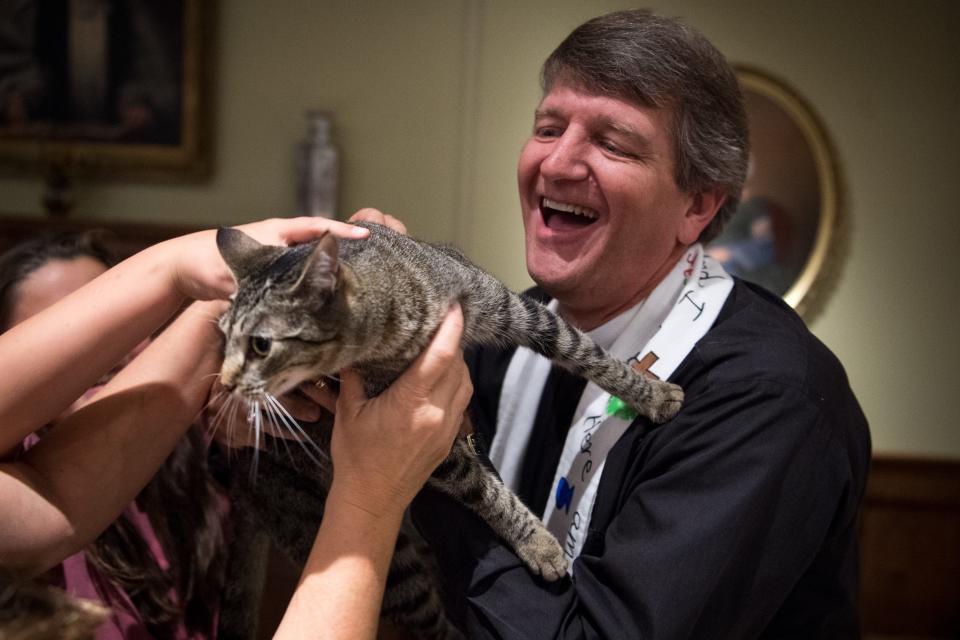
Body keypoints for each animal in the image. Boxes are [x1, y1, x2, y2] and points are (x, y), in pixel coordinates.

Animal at [217, 222, 684, 636]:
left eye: (260, 344)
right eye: (222, 335)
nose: (224, 381)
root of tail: (237, 476)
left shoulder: (511, 308)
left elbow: (586, 351)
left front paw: (651, 394)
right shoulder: (429, 435)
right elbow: (488, 493)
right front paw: (539, 544)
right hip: (388, 566)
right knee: (433, 626)